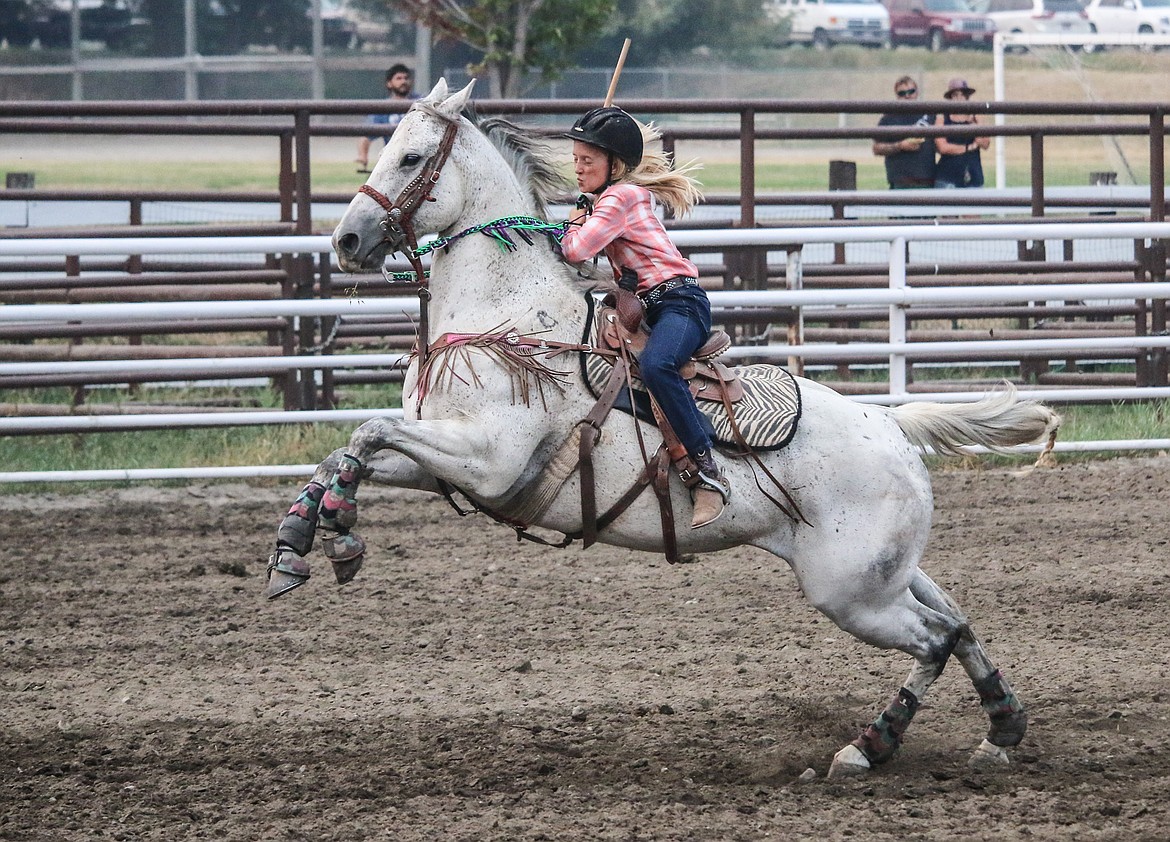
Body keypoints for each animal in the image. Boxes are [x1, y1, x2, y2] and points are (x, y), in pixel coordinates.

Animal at [271, 78, 1062, 776]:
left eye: (410, 157)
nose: (346, 240)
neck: (510, 317)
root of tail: (891, 425)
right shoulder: (442, 463)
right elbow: (349, 449)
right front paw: (303, 541)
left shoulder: (491, 462)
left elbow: (370, 432)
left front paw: (332, 536)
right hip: (885, 570)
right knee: (955, 619)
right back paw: (1001, 728)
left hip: (851, 590)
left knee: (932, 639)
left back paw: (868, 748)